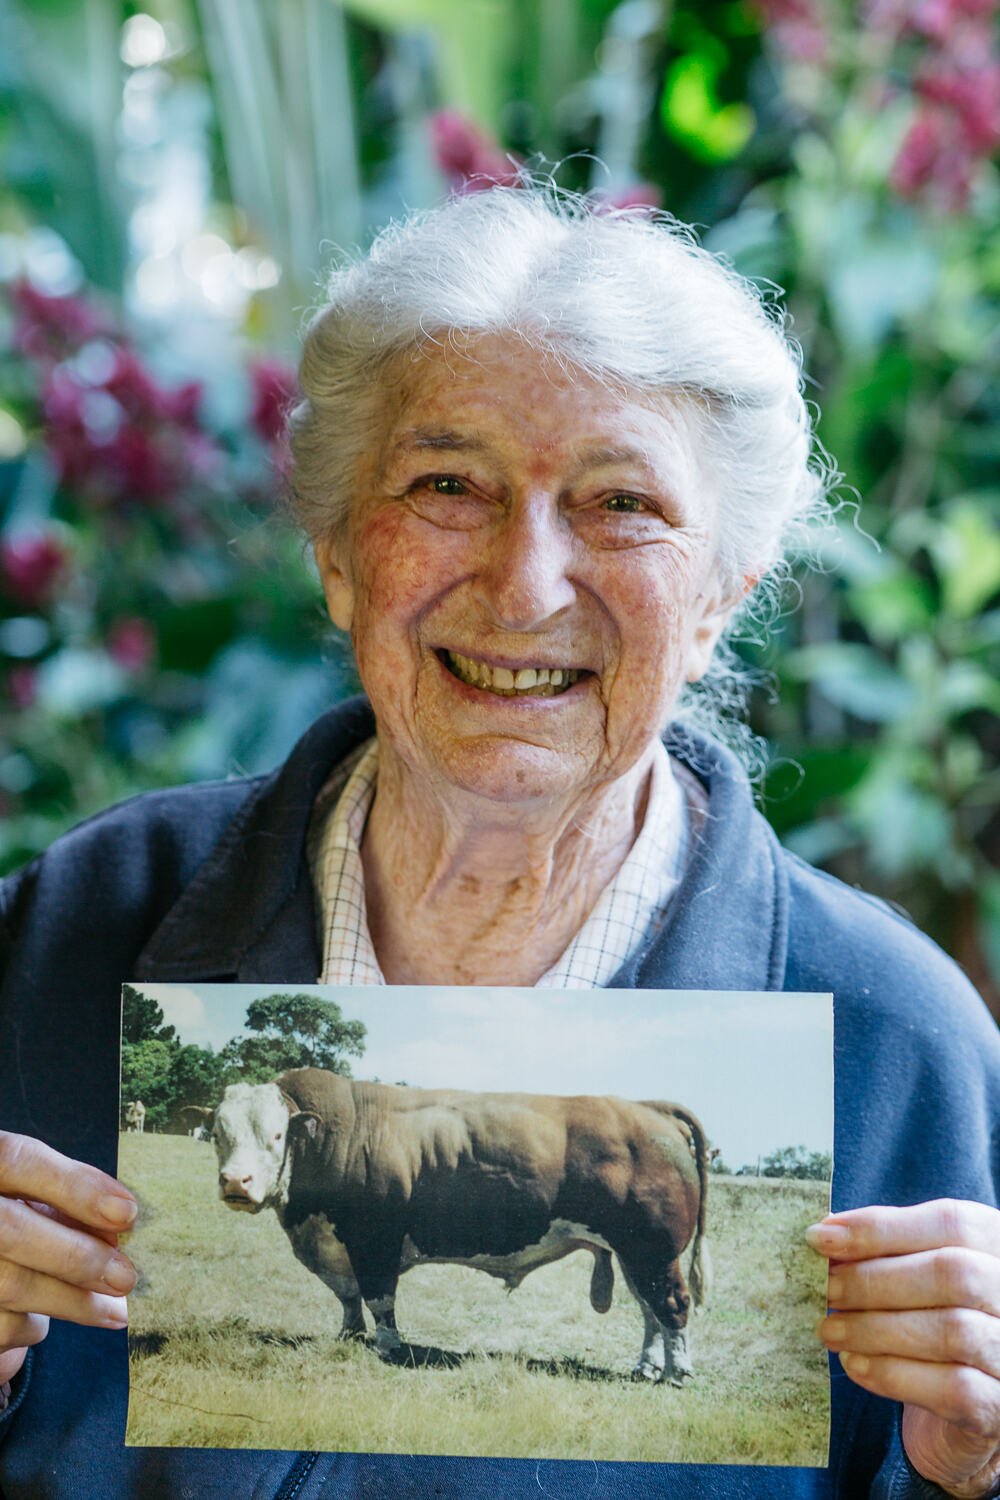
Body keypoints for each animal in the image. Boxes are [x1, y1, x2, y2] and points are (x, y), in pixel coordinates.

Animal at [208, 1068, 710, 1384]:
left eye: (276, 1135)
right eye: (217, 1134)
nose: (235, 1181)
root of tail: (648, 1109)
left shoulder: (375, 1241)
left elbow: (379, 1298)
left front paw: (387, 1346)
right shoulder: (338, 1248)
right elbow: (350, 1299)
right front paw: (348, 1337)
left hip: (654, 1251)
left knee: (672, 1305)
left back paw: (678, 1373)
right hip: (634, 1254)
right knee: (648, 1310)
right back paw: (647, 1367)